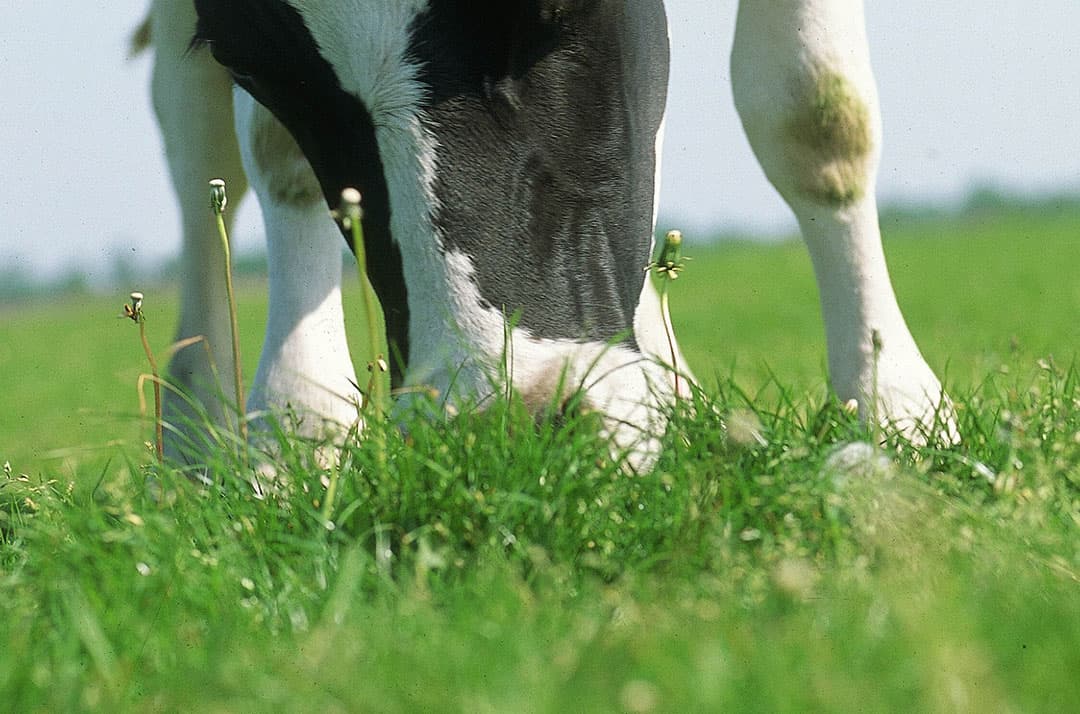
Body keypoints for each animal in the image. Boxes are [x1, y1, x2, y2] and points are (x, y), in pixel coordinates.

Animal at [141, 0, 953, 469]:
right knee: (197, 144)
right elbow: (273, 155)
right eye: (248, 63)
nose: (501, 427)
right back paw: (192, 437)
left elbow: (814, 110)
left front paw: (894, 403)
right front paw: (296, 432)